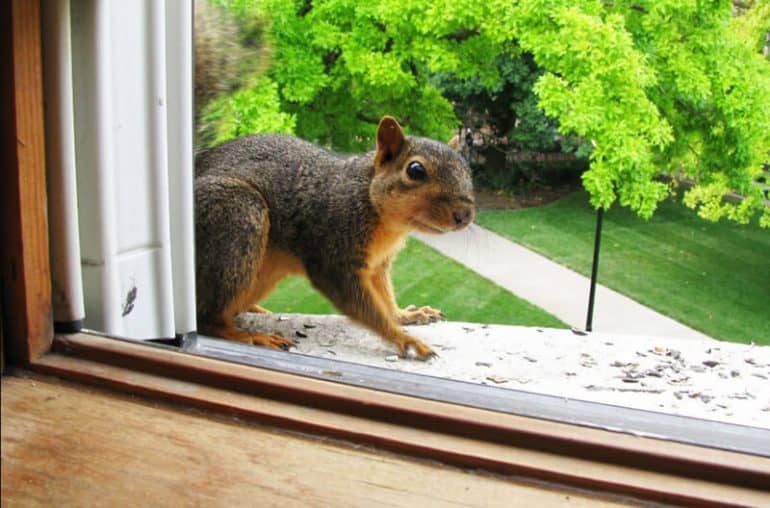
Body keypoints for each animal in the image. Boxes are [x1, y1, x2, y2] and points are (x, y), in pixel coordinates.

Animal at [194, 116, 475, 360]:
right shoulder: (333, 253)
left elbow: (384, 297)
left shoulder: (377, 264)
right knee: (208, 319)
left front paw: (405, 315)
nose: (465, 215)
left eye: (467, 168)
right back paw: (251, 336)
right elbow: (363, 305)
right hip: (237, 216)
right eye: (415, 170)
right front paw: (405, 339)